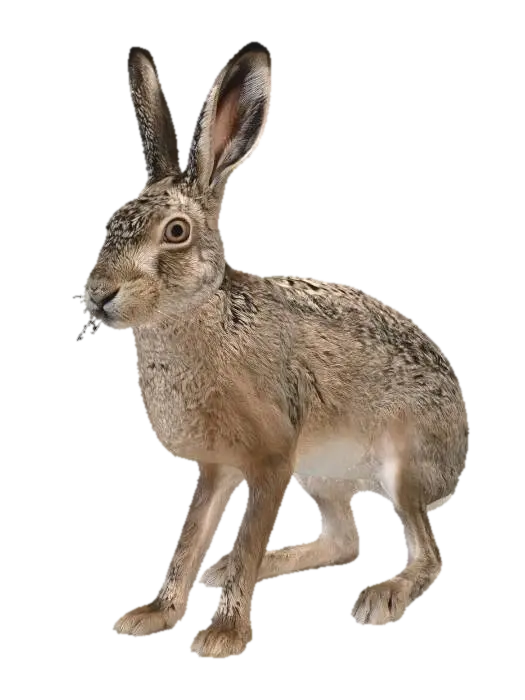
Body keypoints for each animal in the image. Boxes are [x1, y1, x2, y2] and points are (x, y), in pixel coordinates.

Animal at [83, 47, 471, 658]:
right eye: (113, 222)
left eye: (176, 232)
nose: (98, 294)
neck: (197, 316)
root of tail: (462, 450)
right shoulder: (217, 465)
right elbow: (191, 537)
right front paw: (153, 615)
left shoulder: (271, 456)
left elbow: (243, 534)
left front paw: (222, 636)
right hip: (322, 474)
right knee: (345, 539)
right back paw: (255, 563)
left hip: (401, 464)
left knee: (429, 552)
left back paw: (383, 596)